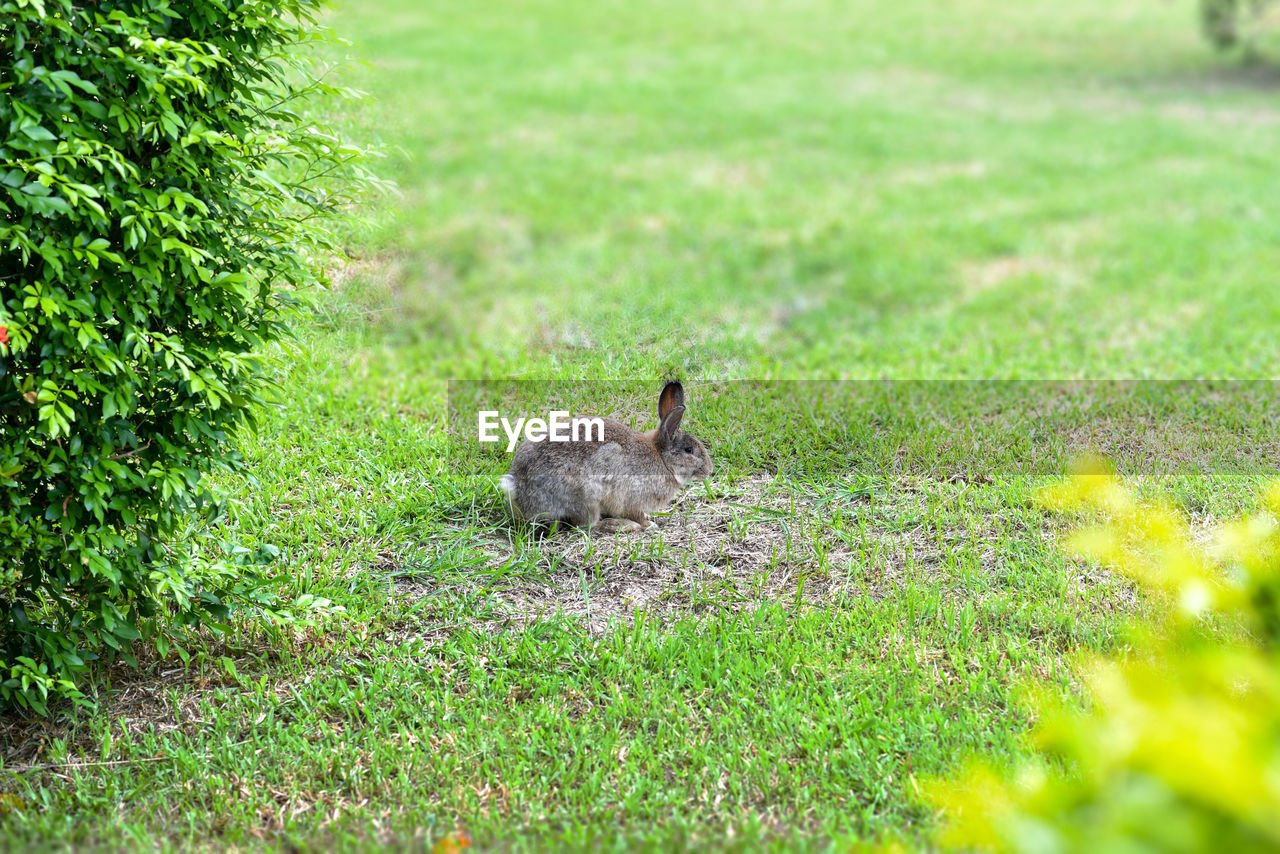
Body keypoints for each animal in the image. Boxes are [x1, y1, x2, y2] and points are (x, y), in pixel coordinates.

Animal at [499, 381, 716, 535]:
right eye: (689, 450)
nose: (709, 470)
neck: (663, 459)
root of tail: (519, 489)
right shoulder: (632, 497)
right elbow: (637, 513)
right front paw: (649, 524)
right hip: (586, 497)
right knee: (585, 526)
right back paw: (623, 526)